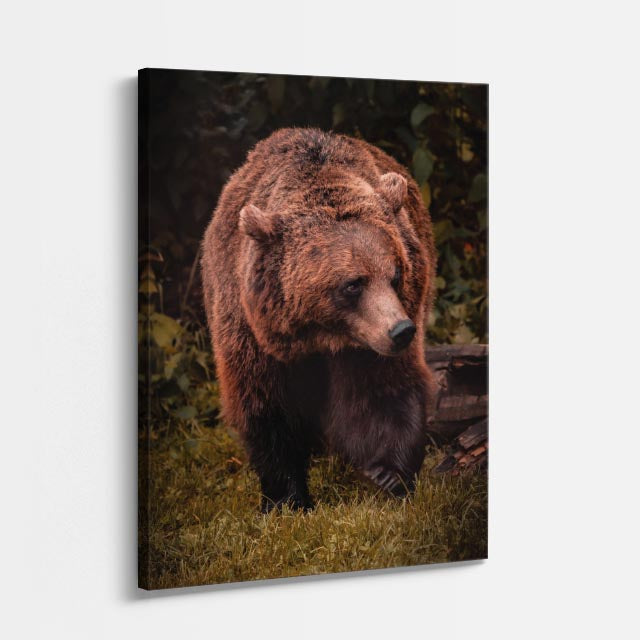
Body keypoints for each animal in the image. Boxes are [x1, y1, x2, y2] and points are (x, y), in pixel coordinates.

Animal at [201, 128, 437, 512]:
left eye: (396, 273)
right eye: (353, 284)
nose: (402, 331)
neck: (320, 336)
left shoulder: (368, 343)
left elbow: (384, 391)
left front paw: (388, 474)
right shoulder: (250, 331)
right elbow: (266, 406)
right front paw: (286, 498)